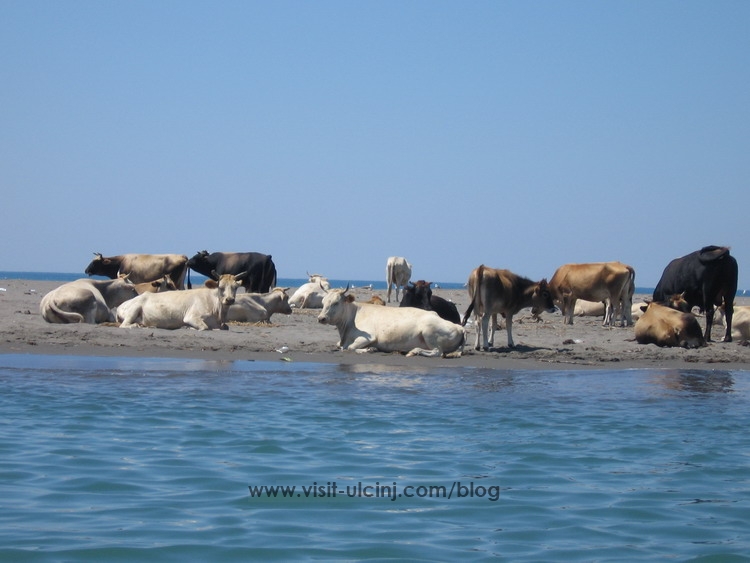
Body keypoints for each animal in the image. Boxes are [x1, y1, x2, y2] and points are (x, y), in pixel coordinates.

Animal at [318, 286, 464, 356]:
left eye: (336, 303)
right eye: (323, 302)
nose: (321, 318)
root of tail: (459, 327)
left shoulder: (368, 337)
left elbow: (350, 348)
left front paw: (369, 349)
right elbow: (343, 346)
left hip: (429, 332)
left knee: (437, 352)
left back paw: (413, 351)